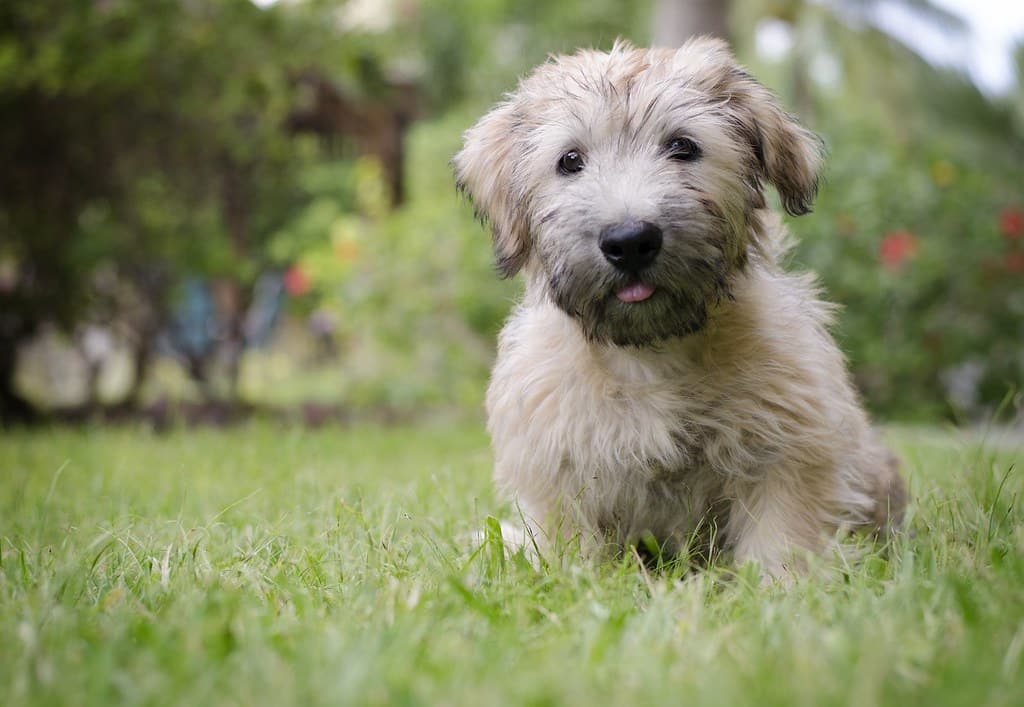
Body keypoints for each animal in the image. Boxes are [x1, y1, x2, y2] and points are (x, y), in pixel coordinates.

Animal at [454, 37, 905, 573]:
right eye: (570, 160)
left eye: (682, 146)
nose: (630, 241)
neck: (650, 355)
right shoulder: (559, 470)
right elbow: (572, 549)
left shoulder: (789, 447)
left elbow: (782, 535)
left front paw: (782, 585)